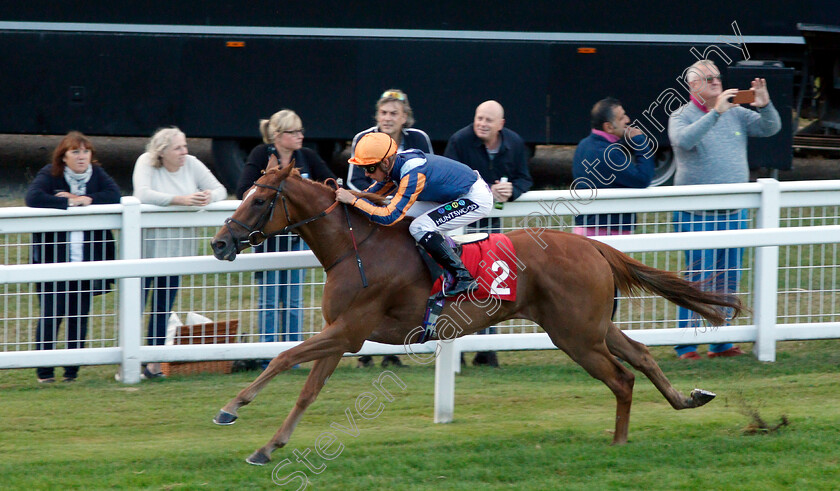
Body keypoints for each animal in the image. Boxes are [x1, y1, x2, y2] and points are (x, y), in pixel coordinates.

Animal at [210, 164, 740, 466]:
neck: (356, 247)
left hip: (575, 336)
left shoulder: (349, 330)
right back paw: (686, 400)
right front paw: (267, 447)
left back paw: (618, 445)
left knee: (622, 378)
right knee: (642, 356)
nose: (219, 243)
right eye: (246, 194)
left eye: (261, 199)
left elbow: (283, 358)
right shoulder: (341, 335)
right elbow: (307, 391)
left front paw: (231, 408)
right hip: (591, 326)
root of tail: (593, 245)